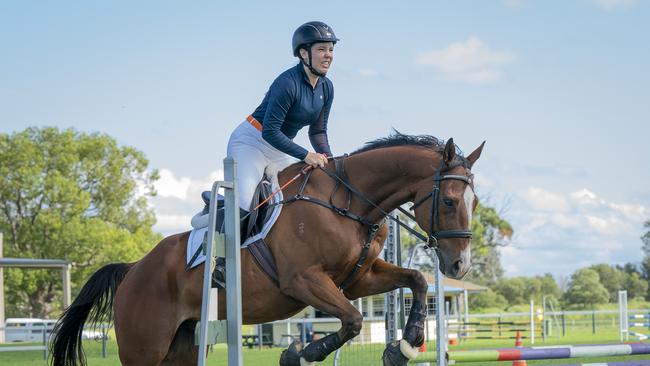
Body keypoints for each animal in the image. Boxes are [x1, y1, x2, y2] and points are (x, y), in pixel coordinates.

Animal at [50, 134, 480, 366]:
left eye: (473, 201)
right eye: (448, 201)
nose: (459, 265)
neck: (349, 202)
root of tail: (134, 269)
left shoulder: (359, 278)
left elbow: (417, 280)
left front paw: (404, 345)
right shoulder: (303, 280)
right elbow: (353, 321)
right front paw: (298, 353)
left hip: (184, 345)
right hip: (145, 348)